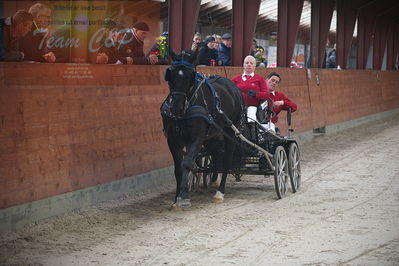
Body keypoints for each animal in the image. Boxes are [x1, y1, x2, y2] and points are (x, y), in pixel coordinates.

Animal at [160, 50, 242, 208]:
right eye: (171, 76)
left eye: (189, 77)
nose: (176, 108)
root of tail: (232, 86)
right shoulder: (173, 140)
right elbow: (178, 169)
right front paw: (177, 198)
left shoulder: (197, 139)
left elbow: (186, 164)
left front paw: (184, 196)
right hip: (213, 136)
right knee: (217, 153)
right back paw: (213, 179)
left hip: (230, 133)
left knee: (227, 160)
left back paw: (220, 192)